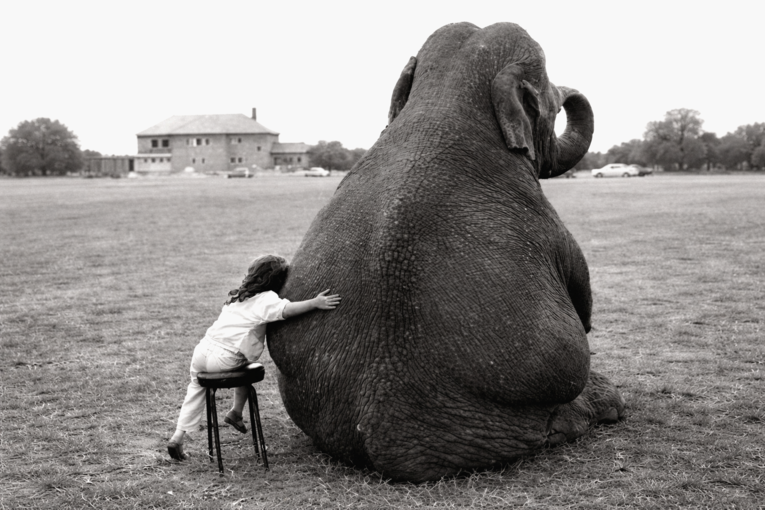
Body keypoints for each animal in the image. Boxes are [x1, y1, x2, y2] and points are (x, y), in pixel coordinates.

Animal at [268, 21, 625, 482]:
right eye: (547, 97)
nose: (568, 93)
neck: (444, 98)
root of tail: (389, 440)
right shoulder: (551, 227)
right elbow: (582, 305)